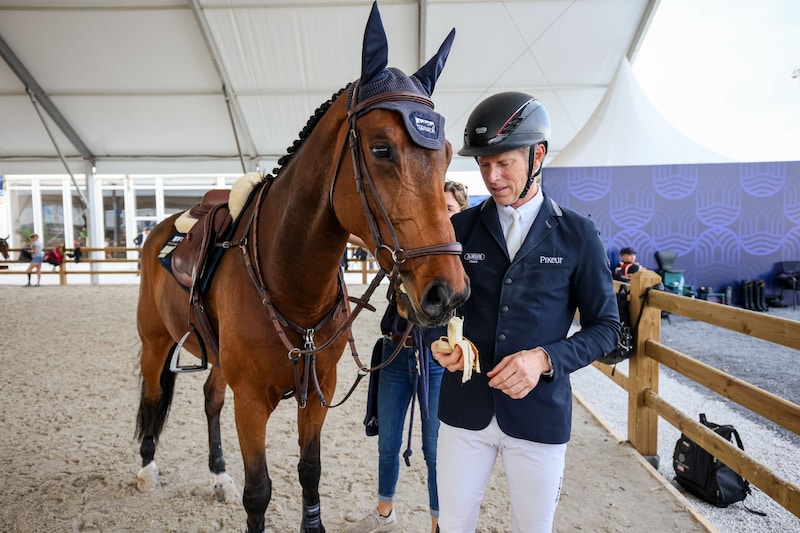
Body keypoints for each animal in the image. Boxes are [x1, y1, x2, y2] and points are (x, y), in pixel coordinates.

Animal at [132, 2, 468, 528]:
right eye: (381, 148)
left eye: (449, 153)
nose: (446, 292)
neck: (291, 282)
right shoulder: (252, 402)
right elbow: (259, 492)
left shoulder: (319, 389)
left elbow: (310, 470)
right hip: (155, 340)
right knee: (151, 395)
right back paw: (147, 469)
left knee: (210, 398)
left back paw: (218, 475)